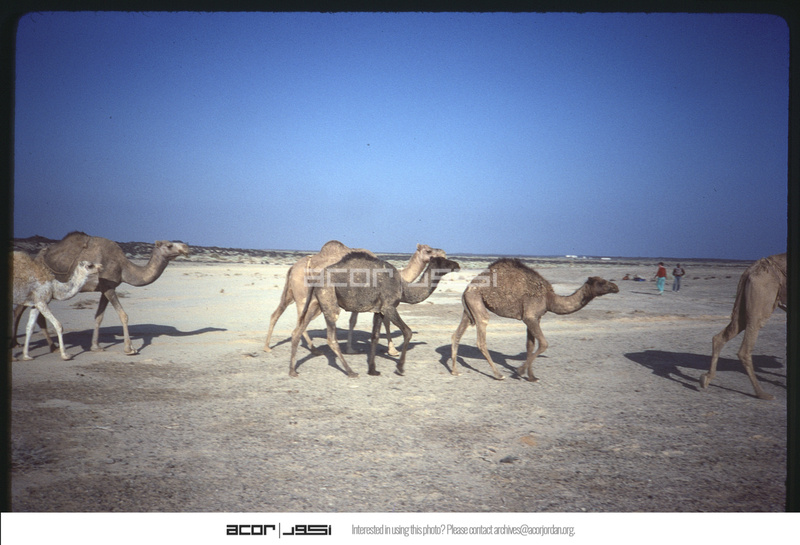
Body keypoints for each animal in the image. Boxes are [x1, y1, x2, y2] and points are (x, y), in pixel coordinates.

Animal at [12, 231, 190, 355]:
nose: (186, 247)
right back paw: (26, 345)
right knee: (22, 310)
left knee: (29, 312)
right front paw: (130, 349)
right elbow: (123, 315)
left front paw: (95, 346)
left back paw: (45, 346)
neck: (124, 267)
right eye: (169, 245)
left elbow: (99, 317)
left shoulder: (105, 288)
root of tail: (36, 258)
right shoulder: (109, 286)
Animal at [264, 240, 446, 355]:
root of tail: (293, 267)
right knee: (300, 318)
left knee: (277, 313)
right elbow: (382, 321)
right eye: (428, 250)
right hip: (304, 294)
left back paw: (267, 347)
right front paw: (392, 350)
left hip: (291, 292)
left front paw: (351, 348)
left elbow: (354, 321)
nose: (443, 252)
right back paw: (314, 349)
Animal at [289, 253, 460, 378]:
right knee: (331, 338)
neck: (403, 288)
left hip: (316, 302)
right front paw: (400, 368)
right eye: (443, 261)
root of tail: (316, 278)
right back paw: (351, 372)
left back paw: (292, 370)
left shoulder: (378, 310)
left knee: (297, 330)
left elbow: (375, 336)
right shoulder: (389, 306)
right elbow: (408, 332)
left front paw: (373, 370)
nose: (457, 265)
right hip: (329, 299)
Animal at [450, 258, 619, 381]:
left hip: (469, 307)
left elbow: (530, 346)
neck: (549, 298)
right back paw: (498, 375)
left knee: (457, 334)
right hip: (476, 301)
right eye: (601, 282)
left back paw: (455, 371)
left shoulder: (534, 319)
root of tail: (467, 287)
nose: (615, 287)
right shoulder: (530, 316)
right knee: (481, 335)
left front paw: (531, 376)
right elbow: (544, 344)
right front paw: (519, 371)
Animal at [700, 252, 787, 400]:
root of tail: (751, 269)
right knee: (745, 348)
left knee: (724, 334)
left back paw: (706, 378)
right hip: (763, 297)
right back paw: (762, 393)